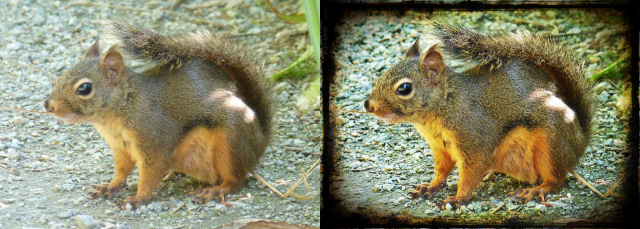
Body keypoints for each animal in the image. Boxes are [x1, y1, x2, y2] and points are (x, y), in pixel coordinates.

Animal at [43, 21, 274, 209]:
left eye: (84, 88)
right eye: (63, 74)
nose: (47, 105)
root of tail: (260, 138)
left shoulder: (154, 141)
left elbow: (150, 173)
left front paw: (137, 199)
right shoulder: (120, 147)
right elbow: (122, 170)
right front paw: (110, 186)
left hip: (231, 144)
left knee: (236, 180)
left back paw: (214, 190)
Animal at [364, 22, 596, 208]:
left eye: (404, 88)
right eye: (383, 74)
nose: (368, 105)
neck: (444, 107)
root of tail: (580, 138)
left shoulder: (474, 141)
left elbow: (470, 173)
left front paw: (458, 199)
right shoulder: (441, 147)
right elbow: (442, 170)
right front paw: (430, 186)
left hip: (551, 144)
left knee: (555, 180)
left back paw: (534, 190)